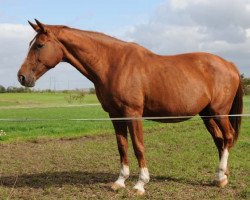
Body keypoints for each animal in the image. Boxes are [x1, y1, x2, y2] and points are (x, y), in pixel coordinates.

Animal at [18, 20, 242, 195]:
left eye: (39, 45)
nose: (22, 77)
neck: (113, 64)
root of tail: (229, 64)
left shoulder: (133, 114)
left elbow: (138, 146)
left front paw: (140, 184)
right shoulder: (115, 115)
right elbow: (122, 146)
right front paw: (120, 182)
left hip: (220, 112)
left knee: (228, 137)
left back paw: (221, 176)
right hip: (206, 115)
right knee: (220, 141)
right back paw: (220, 177)